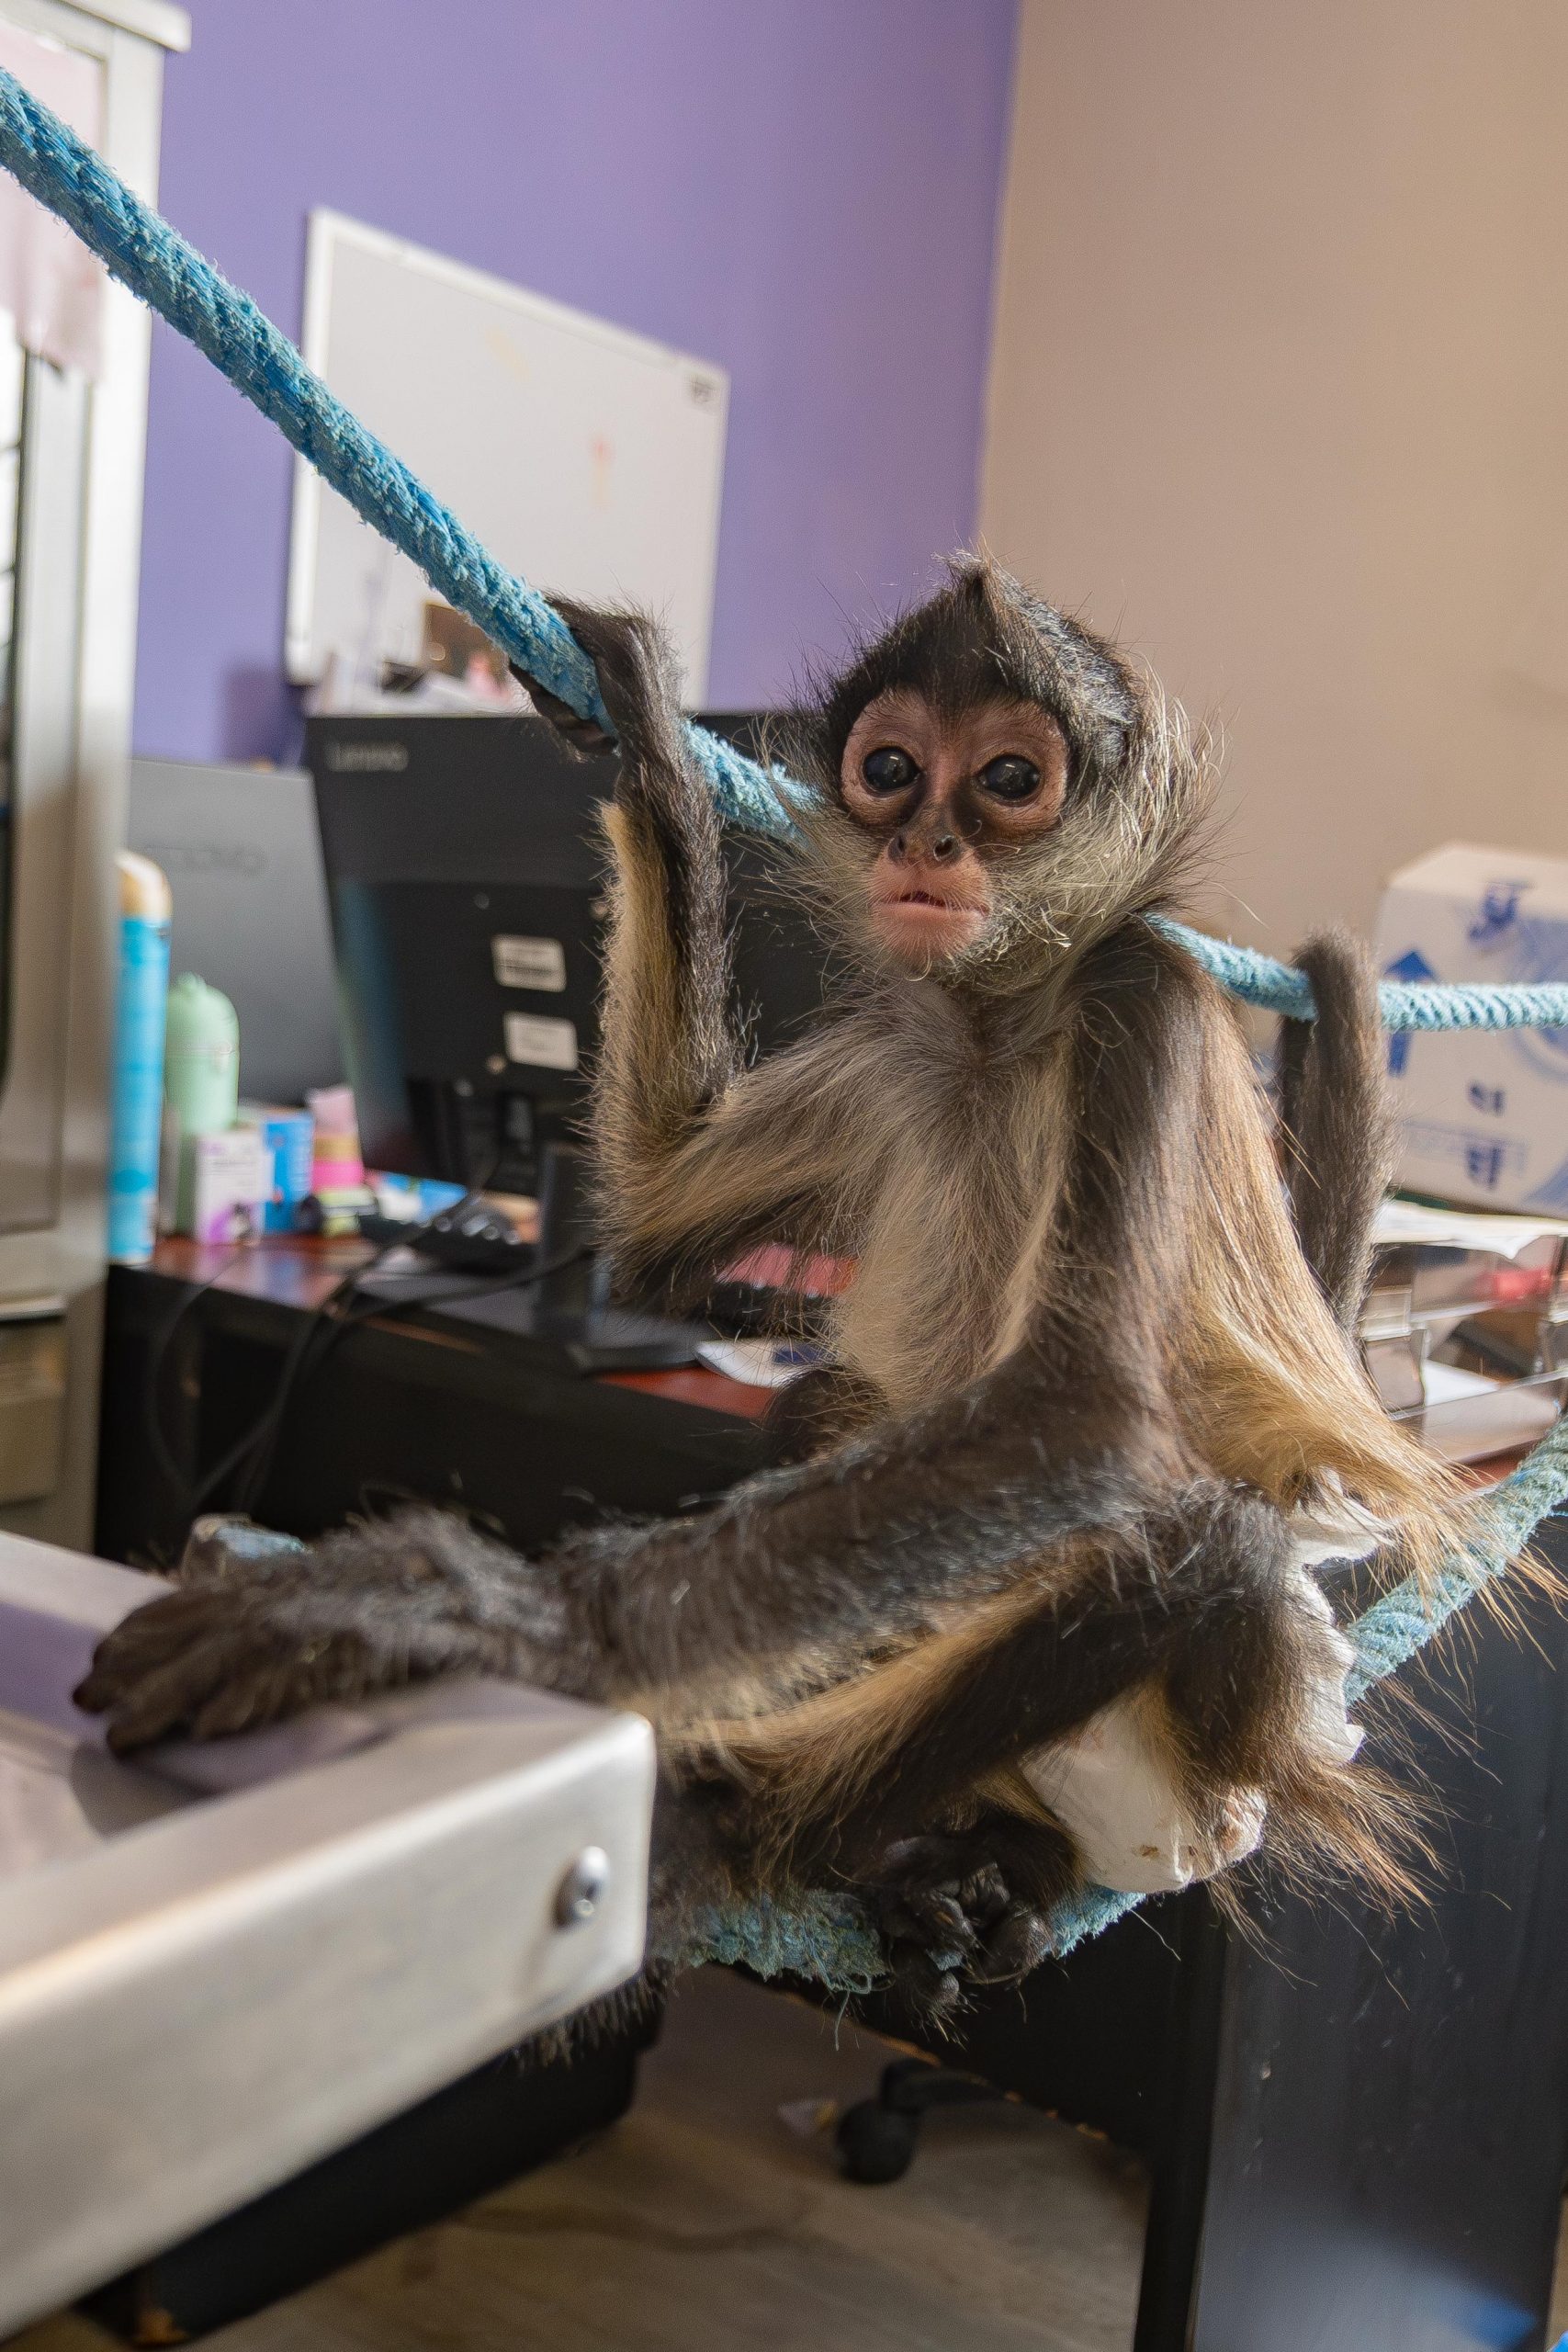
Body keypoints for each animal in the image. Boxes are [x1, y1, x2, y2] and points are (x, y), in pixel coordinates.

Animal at [77, 559, 1474, 2014]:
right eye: (892, 769)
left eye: (1010, 780)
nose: (927, 843)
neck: (994, 1026)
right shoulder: (890, 1046)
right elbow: (654, 1214)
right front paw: (643, 730)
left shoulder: (1140, 989)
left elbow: (1083, 1417)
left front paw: (475, 1614)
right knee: (828, 1417)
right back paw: (955, 1863)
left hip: (1216, 1743)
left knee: (1210, 1552)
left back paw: (729, 1814)